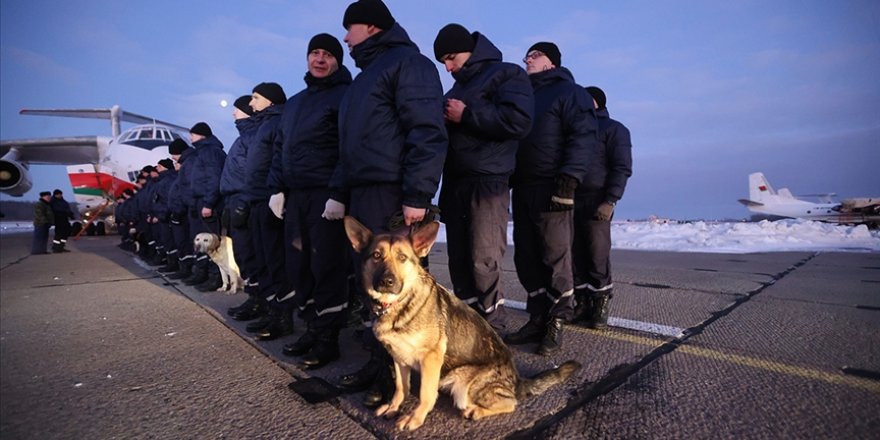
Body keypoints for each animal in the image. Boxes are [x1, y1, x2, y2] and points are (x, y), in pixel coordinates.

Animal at [346, 216, 584, 430]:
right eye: (376, 256)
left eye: (402, 257)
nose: (387, 281)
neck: (396, 305)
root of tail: (516, 381)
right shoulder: (399, 357)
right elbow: (400, 388)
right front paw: (394, 407)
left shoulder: (431, 358)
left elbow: (425, 394)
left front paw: (415, 418)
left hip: (466, 387)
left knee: (510, 402)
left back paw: (476, 411)